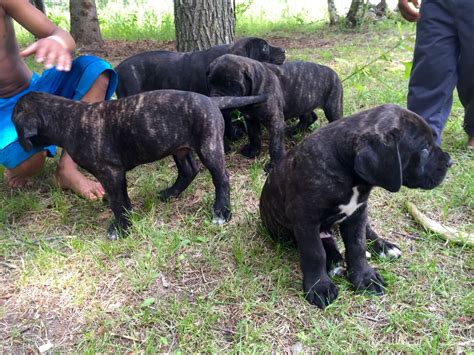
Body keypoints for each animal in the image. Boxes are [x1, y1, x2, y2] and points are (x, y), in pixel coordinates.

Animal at [12, 90, 266, 241]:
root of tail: (210, 100)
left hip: (208, 146)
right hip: (178, 147)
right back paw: (170, 193)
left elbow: (118, 202)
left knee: (221, 177)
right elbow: (119, 198)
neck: (68, 118)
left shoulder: (111, 172)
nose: (18, 145)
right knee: (188, 171)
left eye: (14, 123)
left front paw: (120, 228)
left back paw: (222, 211)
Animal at [209, 54, 342, 171]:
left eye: (232, 85)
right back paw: (294, 131)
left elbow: (275, 145)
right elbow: (253, 135)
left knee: (334, 119)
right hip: (302, 102)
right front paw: (253, 150)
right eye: (210, 82)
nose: (216, 98)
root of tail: (333, 72)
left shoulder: (274, 119)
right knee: (309, 118)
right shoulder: (250, 118)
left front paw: (274, 165)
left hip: (332, 107)